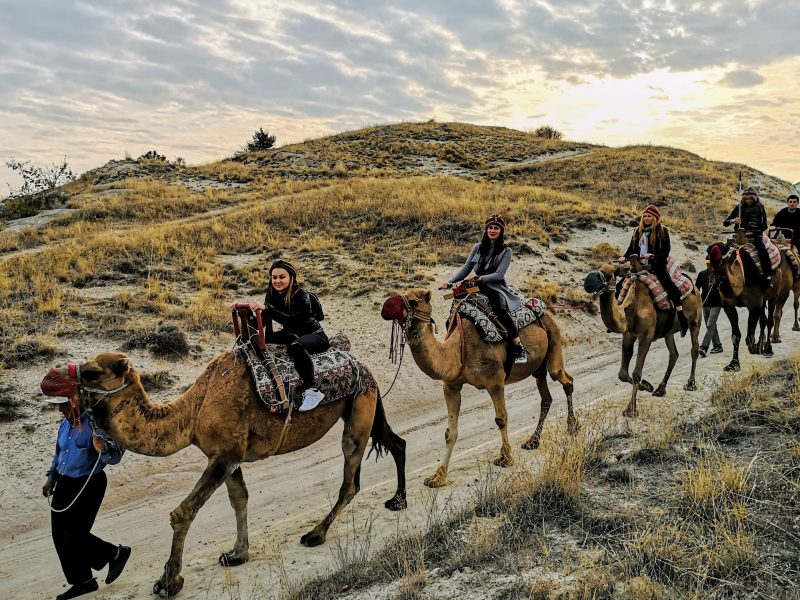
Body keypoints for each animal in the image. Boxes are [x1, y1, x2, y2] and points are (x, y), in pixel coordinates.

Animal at [39, 352, 406, 596]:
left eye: (90, 372)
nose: (47, 380)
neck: (192, 411)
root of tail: (363, 366)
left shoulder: (223, 455)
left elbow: (183, 512)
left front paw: (168, 582)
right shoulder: (227, 456)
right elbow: (239, 498)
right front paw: (237, 554)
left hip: (359, 406)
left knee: (350, 480)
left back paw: (316, 534)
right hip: (366, 405)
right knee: (396, 442)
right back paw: (398, 500)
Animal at [382, 288, 576, 490]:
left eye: (413, 301)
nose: (386, 308)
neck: (457, 350)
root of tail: (546, 310)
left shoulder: (495, 381)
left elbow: (501, 419)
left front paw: (506, 458)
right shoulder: (451, 386)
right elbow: (450, 432)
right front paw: (437, 477)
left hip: (553, 343)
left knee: (566, 380)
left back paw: (571, 427)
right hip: (538, 368)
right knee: (546, 397)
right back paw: (533, 441)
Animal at [580, 256, 700, 418]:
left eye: (610, 274)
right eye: (598, 269)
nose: (589, 282)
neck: (631, 309)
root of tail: (695, 289)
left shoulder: (646, 336)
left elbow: (636, 373)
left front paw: (631, 409)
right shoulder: (628, 335)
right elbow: (622, 374)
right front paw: (647, 386)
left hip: (695, 321)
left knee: (694, 349)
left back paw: (691, 384)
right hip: (668, 331)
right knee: (674, 354)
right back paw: (660, 389)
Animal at [708, 231, 792, 368]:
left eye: (722, 258)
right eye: (709, 259)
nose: (715, 281)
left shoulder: (754, 303)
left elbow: (749, 336)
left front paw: (753, 348)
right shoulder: (728, 305)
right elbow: (736, 335)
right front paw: (734, 363)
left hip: (773, 295)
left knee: (769, 320)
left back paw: (767, 349)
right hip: (763, 300)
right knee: (763, 320)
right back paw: (761, 345)